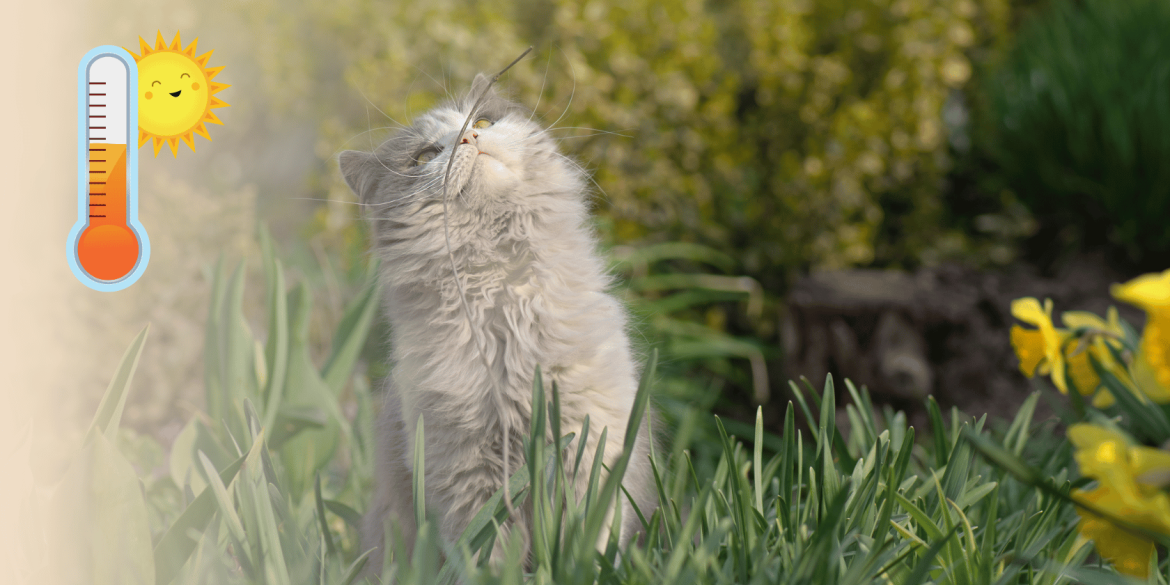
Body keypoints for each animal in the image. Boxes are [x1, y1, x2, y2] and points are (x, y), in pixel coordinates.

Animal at [341, 74, 659, 575]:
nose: (469, 138)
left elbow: (587, 538)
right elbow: (488, 555)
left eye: (485, 121)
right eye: (425, 156)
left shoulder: (593, 446)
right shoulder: (466, 472)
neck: (506, 300)